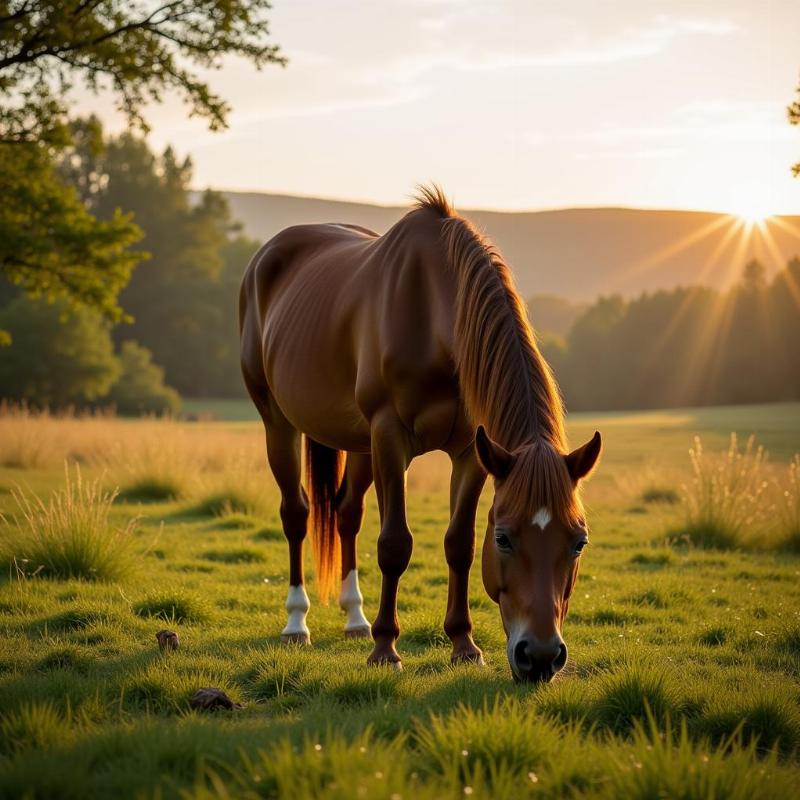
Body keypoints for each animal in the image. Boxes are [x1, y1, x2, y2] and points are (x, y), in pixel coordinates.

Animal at [238, 188, 600, 680]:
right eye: (504, 538)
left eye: (578, 542)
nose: (541, 656)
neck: (433, 311)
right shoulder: (390, 436)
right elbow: (394, 544)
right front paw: (385, 649)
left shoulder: (471, 450)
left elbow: (458, 544)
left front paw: (463, 644)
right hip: (279, 423)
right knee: (296, 514)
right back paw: (297, 622)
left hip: (360, 444)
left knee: (347, 514)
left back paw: (355, 619)